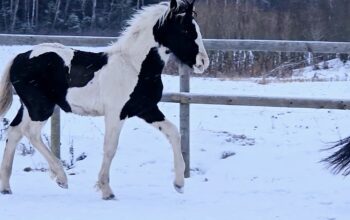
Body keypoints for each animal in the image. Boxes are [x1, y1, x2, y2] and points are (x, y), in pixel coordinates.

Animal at [0, 0, 208, 199]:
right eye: (185, 30)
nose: (203, 62)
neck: (134, 66)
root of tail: (19, 57)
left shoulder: (146, 109)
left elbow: (173, 133)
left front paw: (179, 184)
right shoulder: (116, 113)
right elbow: (110, 148)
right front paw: (106, 190)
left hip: (29, 107)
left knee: (15, 131)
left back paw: (6, 187)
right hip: (41, 107)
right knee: (30, 133)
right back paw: (61, 178)